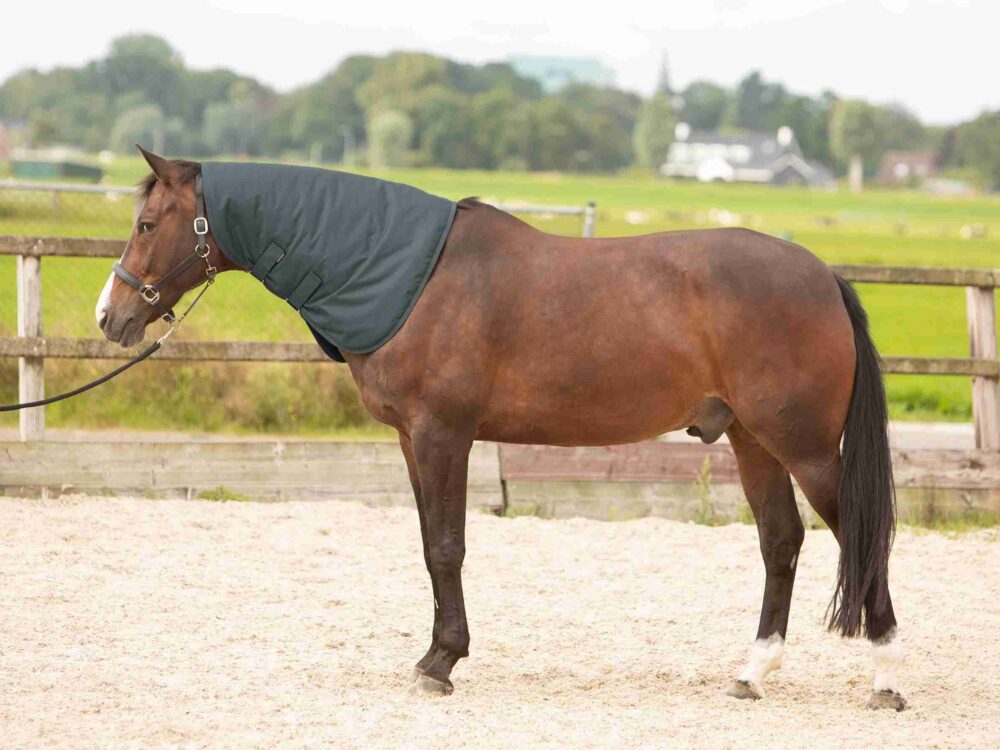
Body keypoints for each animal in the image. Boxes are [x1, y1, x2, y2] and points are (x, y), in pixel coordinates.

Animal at [95, 148, 905, 710]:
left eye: (146, 224)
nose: (111, 316)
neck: (409, 278)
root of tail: (823, 276)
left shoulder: (443, 434)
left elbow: (448, 548)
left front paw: (442, 664)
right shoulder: (411, 440)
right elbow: (430, 547)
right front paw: (434, 655)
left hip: (805, 448)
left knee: (862, 538)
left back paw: (885, 678)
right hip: (752, 440)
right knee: (781, 541)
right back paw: (751, 673)